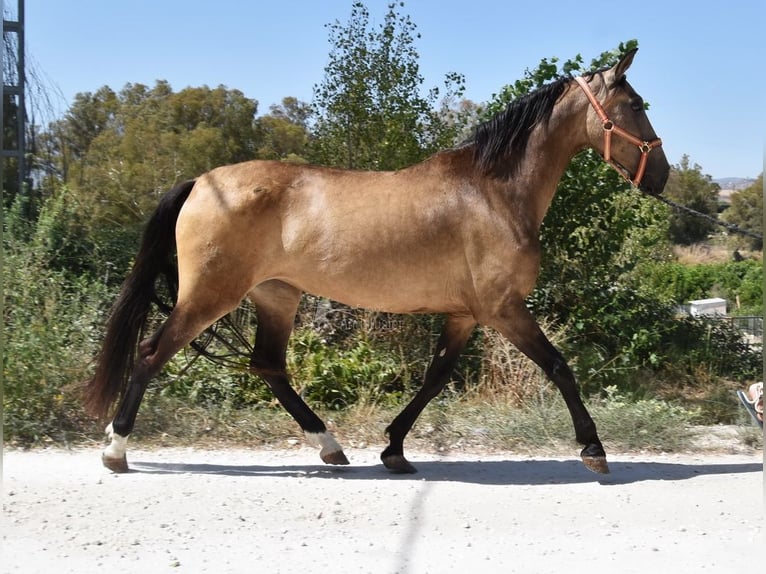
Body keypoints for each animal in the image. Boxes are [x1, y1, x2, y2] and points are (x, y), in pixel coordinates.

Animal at [85, 48, 672, 476]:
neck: (493, 191)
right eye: (638, 104)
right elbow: (559, 368)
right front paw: (593, 449)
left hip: (276, 294)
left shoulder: (465, 314)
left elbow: (435, 379)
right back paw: (116, 450)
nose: (663, 176)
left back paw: (330, 447)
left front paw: (394, 450)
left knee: (269, 366)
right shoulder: (503, 309)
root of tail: (200, 182)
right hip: (210, 295)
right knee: (151, 352)